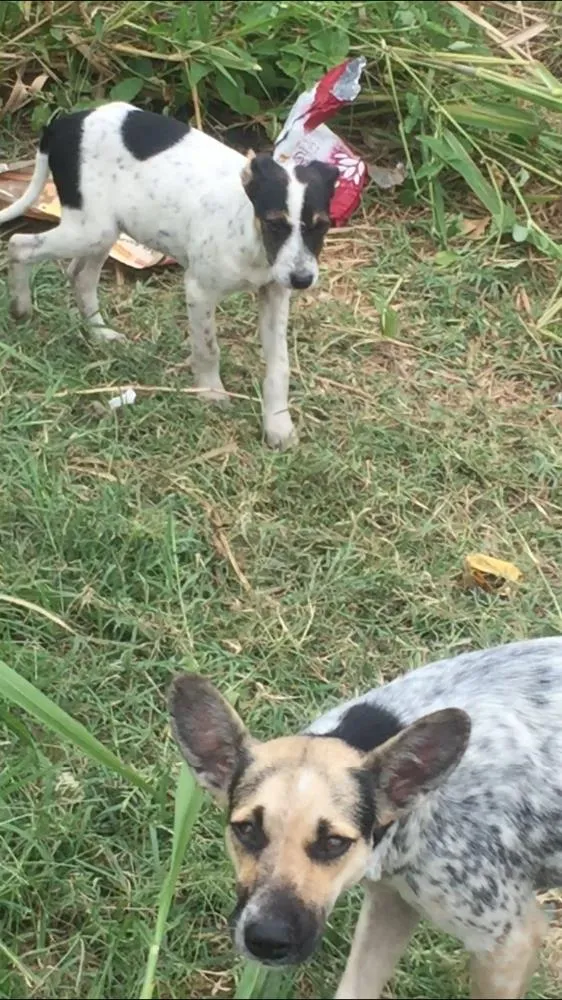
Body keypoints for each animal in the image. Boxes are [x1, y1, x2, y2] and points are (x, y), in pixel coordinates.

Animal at [1, 103, 336, 448]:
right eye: (274, 224)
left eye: (323, 225)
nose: (302, 280)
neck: (252, 237)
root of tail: (68, 120)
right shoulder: (199, 291)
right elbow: (208, 348)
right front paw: (211, 393)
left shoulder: (275, 293)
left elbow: (279, 365)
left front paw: (278, 424)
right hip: (90, 230)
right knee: (19, 245)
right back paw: (20, 307)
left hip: (104, 231)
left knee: (80, 277)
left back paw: (100, 334)